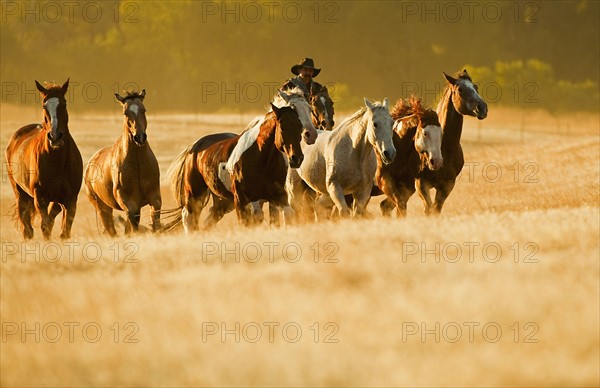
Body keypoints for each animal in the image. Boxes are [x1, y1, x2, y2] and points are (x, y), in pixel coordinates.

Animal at [4, 79, 82, 239]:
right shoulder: (40, 198)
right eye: (44, 106)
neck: (58, 161)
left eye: (64, 104)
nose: (55, 136)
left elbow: (64, 231)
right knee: (27, 228)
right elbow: (45, 226)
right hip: (21, 195)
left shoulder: (70, 201)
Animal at [84, 90, 163, 236]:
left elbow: (155, 222)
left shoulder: (155, 198)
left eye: (144, 110)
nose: (140, 137)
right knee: (112, 230)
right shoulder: (128, 202)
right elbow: (134, 224)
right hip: (102, 208)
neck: (137, 163)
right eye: (126, 113)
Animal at [166, 103, 302, 232]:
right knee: (189, 217)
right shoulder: (242, 199)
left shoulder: (278, 196)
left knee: (209, 219)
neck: (261, 160)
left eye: (300, 127)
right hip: (195, 193)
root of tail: (194, 147)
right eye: (282, 127)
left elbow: (287, 215)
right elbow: (246, 222)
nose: (297, 158)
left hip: (223, 200)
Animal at [414, 69, 490, 215]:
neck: (443, 148)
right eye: (460, 89)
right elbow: (429, 210)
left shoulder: (447, 186)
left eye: (476, 87)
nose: (482, 108)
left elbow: (436, 210)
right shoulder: (421, 184)